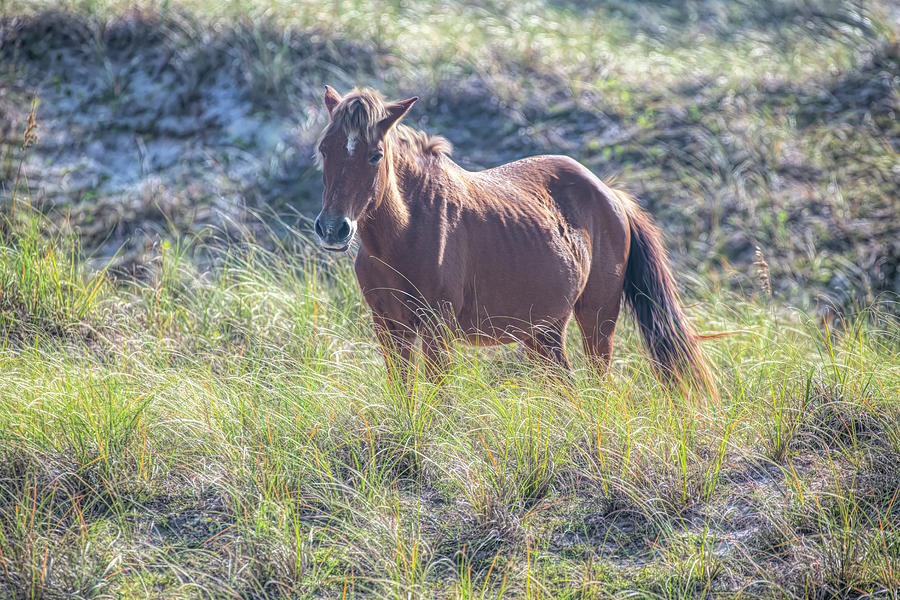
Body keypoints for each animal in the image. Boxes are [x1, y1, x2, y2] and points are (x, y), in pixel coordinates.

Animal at [312, 85, 712, 394]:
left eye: (375, 155)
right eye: (324, 149)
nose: (333, 228)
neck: (404, 233)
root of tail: (610, 194)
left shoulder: (437, 329)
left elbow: (439, 398)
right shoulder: (388, 328)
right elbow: (404, 394)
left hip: (597, 320)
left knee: (599, 384)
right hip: (544, 332)